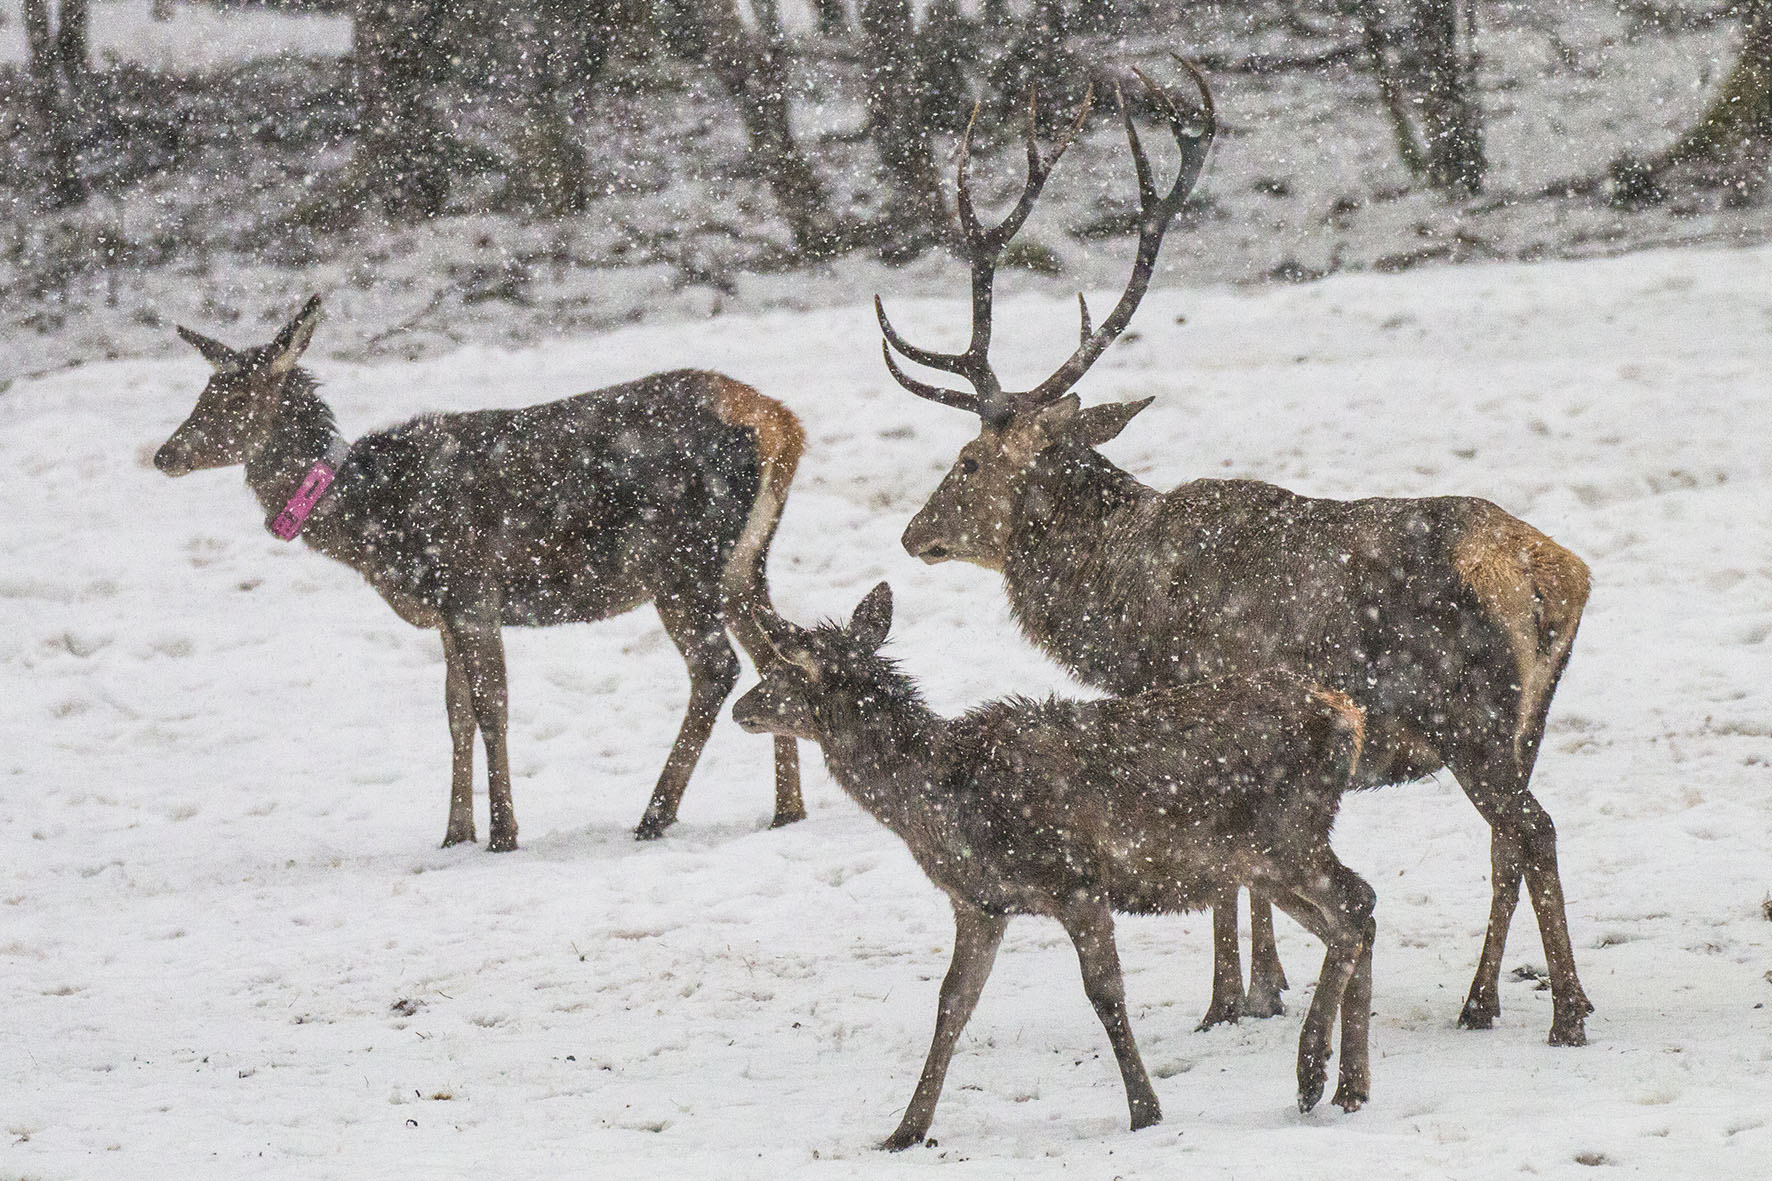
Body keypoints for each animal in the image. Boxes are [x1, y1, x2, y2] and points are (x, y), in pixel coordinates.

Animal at [155, 294, 808, 847]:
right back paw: (788, 810)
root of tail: (783, 425)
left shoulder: (470, 585)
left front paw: (502, 833)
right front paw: (454, 833)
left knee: (717, 667)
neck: (376, 522)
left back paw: (655, 815)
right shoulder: (447, 609)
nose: (165, 454)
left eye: (238, 399)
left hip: (684, 561)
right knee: (776, 656)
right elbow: (456, 711)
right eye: (203, 392)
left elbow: (492, 704)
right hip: (742, 565)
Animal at [726, 585, 1375, 1141]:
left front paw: (1145, 1111)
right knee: (1356, 915)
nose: (741, 707)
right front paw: (904, 1131)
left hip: (1286, 836)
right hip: (1260, 861)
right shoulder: (980, 904)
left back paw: (1311, 1073)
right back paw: (1352, 1088)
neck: (943, 803)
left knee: (1354, 904)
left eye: (786, 667)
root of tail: (1349, 716)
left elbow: (1104, 992)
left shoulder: (1078, 881)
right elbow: (952, 1003)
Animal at [878, 64, 1601, 1042]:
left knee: (1534, 830)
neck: (1124, 615)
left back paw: (1563, 1011)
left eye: (969, 460)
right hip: (1529, 717)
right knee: (1506, 843)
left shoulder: (1198, 701)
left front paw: (1227, 999)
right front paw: (1269, 985)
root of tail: (1550, 570)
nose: (915, 532)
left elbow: (1224, 877)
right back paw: (1486, 998)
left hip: (1466, 709)